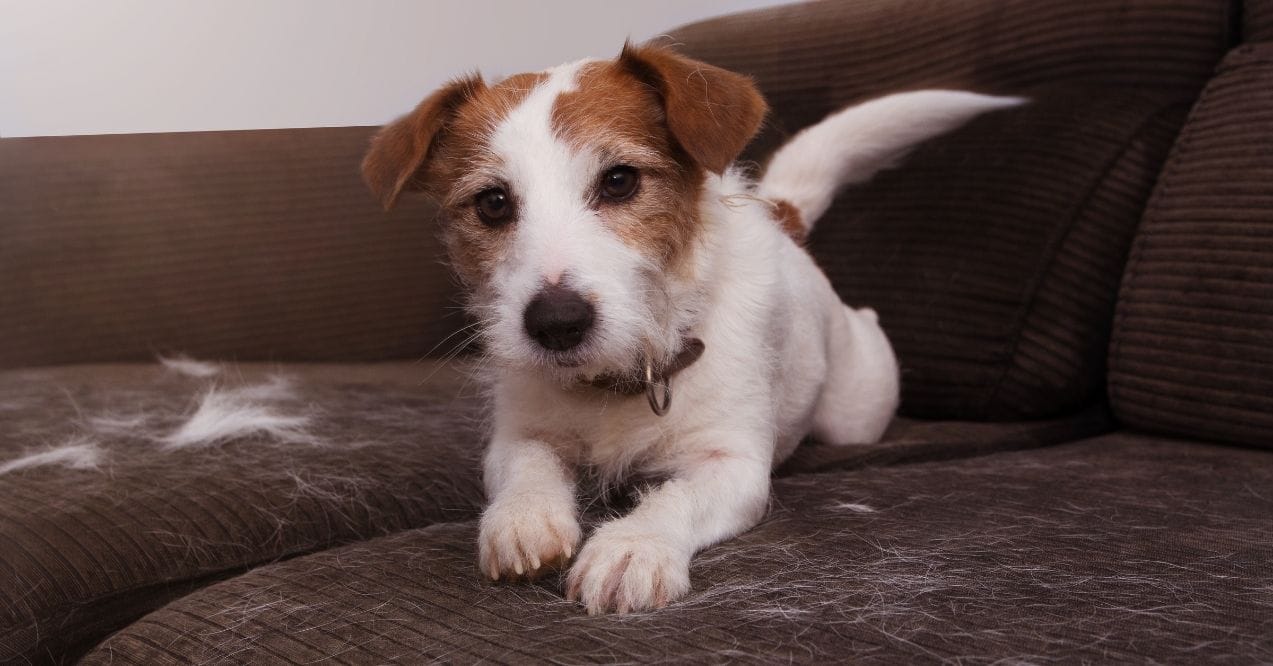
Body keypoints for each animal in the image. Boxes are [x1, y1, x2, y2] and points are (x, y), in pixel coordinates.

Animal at [361, 41, 1023, 616]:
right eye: (493, 203)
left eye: (620, 180)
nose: (556, 323)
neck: (622, 377)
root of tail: (781, 218)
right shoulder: (521, 433)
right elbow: (526, 466)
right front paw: (523, 517)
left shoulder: (733, 465)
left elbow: (677, 496)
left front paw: (632, 546)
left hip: (855, 411)